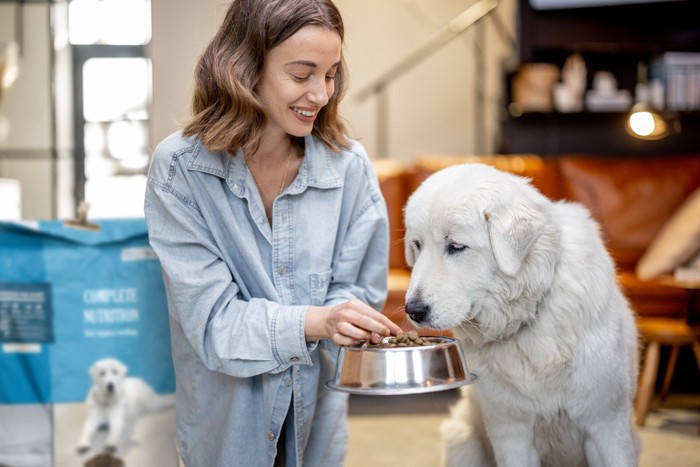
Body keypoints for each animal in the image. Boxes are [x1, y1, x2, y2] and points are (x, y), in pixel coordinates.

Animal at [404, 165, 640, 467]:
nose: (413, 310)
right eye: (417, 245)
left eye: (456, 246)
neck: (528, 316)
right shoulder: (511, 433)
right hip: (462, 440)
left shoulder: (606, 425)